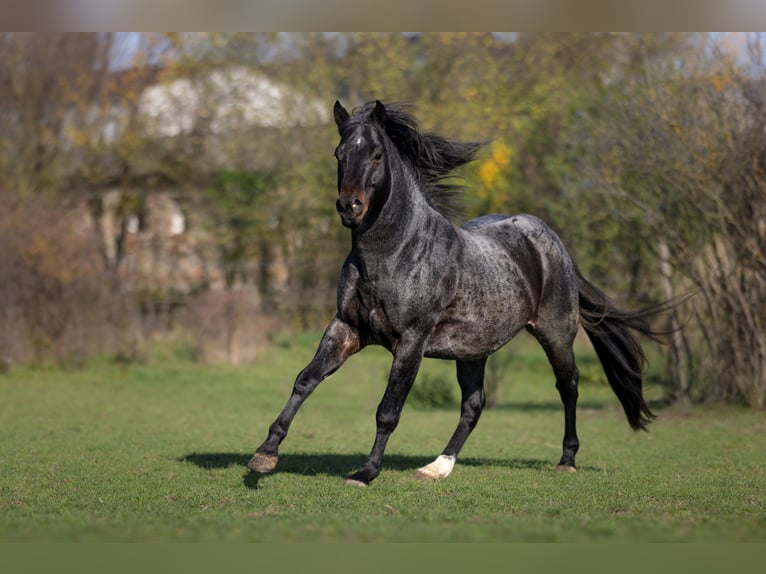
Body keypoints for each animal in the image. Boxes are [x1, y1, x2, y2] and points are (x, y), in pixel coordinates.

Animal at [248, 100, 670, 487]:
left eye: (376, 154)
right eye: (339, 154)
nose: (349, 206)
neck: (395, 253)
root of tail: (553, 243)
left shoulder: (411, 341)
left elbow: (388, 410)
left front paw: (365, 473)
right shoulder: (346, 329)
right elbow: (305, 380)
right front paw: (264, 456)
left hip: (555, 334)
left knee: (568, 387)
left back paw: (567, 460)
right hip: (473, 350)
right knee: (474, 404)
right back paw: (437, 467)